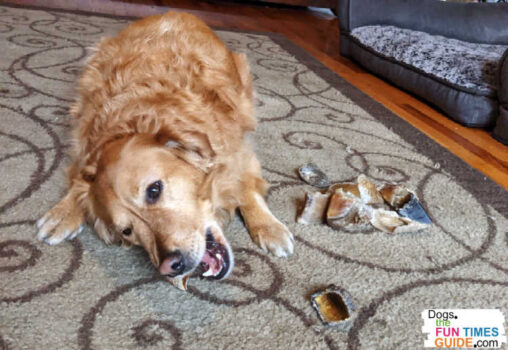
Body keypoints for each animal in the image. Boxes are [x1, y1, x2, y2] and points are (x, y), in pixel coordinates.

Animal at [36, 12, 294, 288]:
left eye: (154, 190)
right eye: (127, 230)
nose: (170, 265)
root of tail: (175, 13)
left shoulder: (239, 148)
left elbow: (246, 186)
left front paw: (268, 227)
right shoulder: (84, 142)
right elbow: (79, 178)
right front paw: (64, 211)